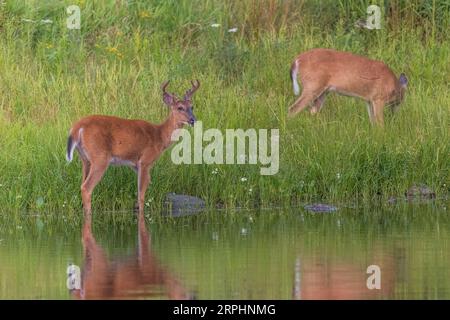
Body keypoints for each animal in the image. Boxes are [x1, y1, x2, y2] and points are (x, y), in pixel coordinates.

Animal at [66, 80, 200, 215]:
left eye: (192, 106)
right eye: (180, 107)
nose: (193, 120)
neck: (160, 136)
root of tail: (77, 127)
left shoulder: (135, 165)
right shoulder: (145, 161)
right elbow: (141, 195)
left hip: (85, 159)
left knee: (82, 183)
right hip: (100, 157)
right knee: (86, 187)